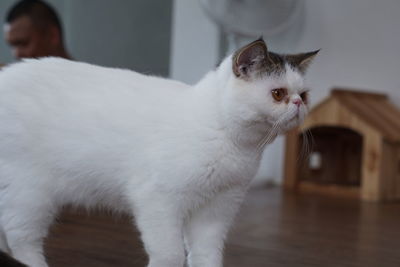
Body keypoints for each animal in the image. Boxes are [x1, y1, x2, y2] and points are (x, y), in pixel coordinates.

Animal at [0, 39, 318, 267]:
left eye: (303, 95)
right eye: (278, 94)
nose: (298, 105)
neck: (235, 145)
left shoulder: (216, 210)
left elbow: (207, 255)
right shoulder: (159, 201)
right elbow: (170, 254)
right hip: (31, 195)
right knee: (21, 240)